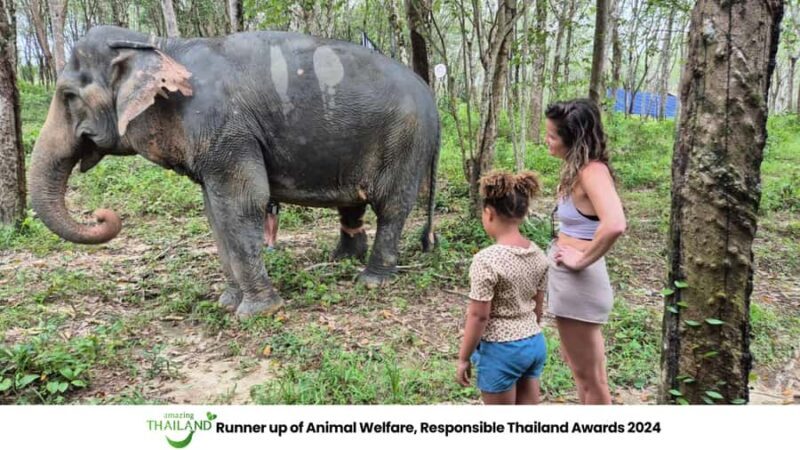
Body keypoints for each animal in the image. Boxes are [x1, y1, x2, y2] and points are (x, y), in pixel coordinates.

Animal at [28, 26, 440, 318]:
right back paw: (343, 259)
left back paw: (371, 280)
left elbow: (243, 203)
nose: (102, 215)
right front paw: (228, 302)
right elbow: (215, 211)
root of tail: (431, 98)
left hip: (405, 140)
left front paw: (256, 312)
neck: (158, 44)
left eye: (68, 96)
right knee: (353, 202)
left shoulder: (225, 129)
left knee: (392, 206)